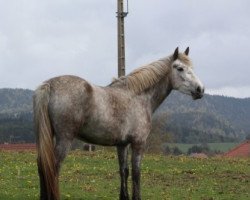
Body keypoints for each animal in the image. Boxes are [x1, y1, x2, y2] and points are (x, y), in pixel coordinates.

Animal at [33, 47, 204, 199]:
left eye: (192, 67)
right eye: (180, 68)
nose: (200, 89)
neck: (137, 96)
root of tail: (50, 84)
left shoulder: (122, 144)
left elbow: (124, 171)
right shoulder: (138, 143)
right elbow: (136, 173)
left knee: (42, 166)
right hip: (64, 138)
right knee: (53, 168)